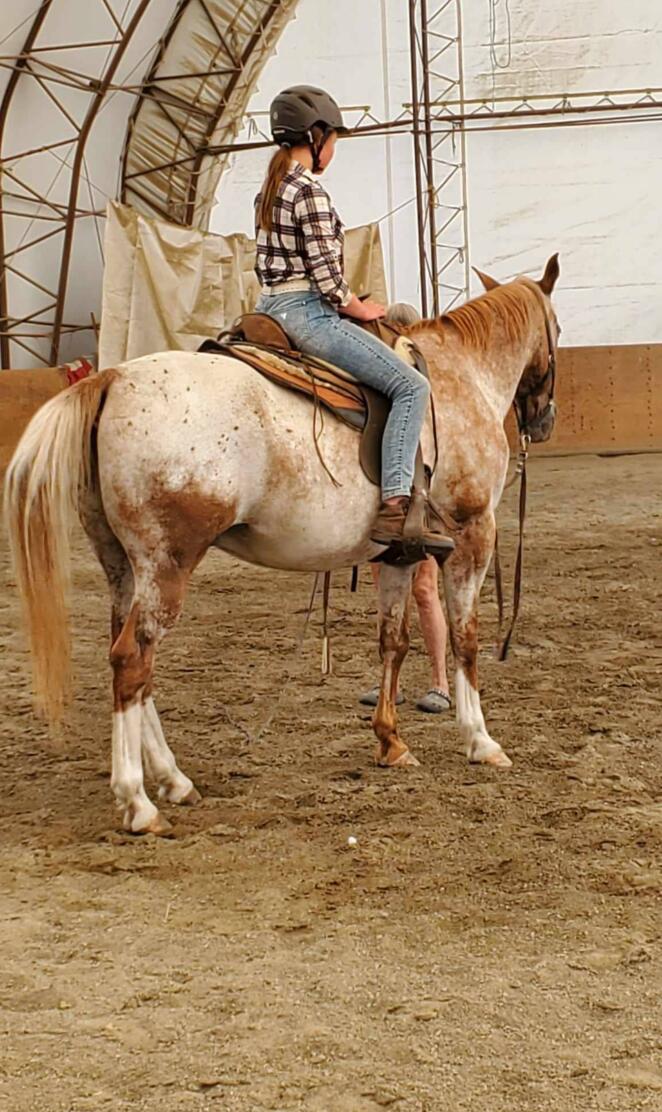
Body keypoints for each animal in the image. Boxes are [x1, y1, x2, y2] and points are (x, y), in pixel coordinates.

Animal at [4, 254, 560, 835]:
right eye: (558, 330)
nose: (544, 420)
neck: (458, 379)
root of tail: (113, 377)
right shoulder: (473, 533)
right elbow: (465, 638)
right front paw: (481, 741)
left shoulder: (400, 552)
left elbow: (394, 641)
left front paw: (391, 742)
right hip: (166, 566)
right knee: (133, 660)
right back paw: (138, 801)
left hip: (124, 567)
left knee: (128, 662)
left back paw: (174, 780)